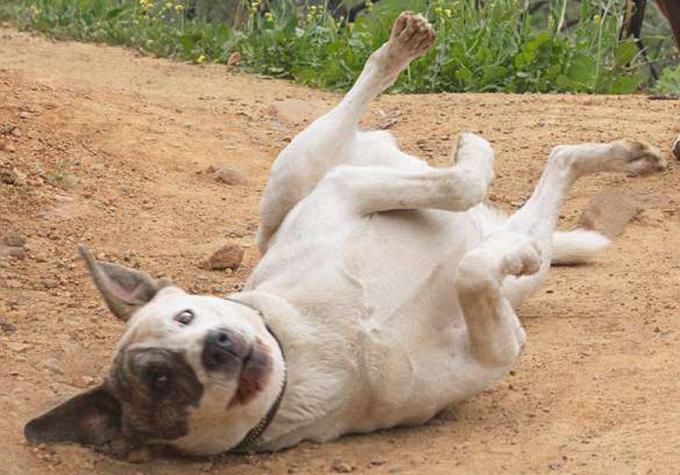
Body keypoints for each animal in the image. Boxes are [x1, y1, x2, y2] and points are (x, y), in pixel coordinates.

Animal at [23, 12, 668, 458]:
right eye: (160, 380)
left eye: (186, 316)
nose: (219, 346)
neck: (306, 347)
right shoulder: (496, 350)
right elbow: (472, 268)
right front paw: (502, 239)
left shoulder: (347, 191)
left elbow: (458, 185)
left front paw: (474, 152)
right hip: (519, 283)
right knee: (550, 181)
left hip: (303, 172)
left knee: (382, 111)